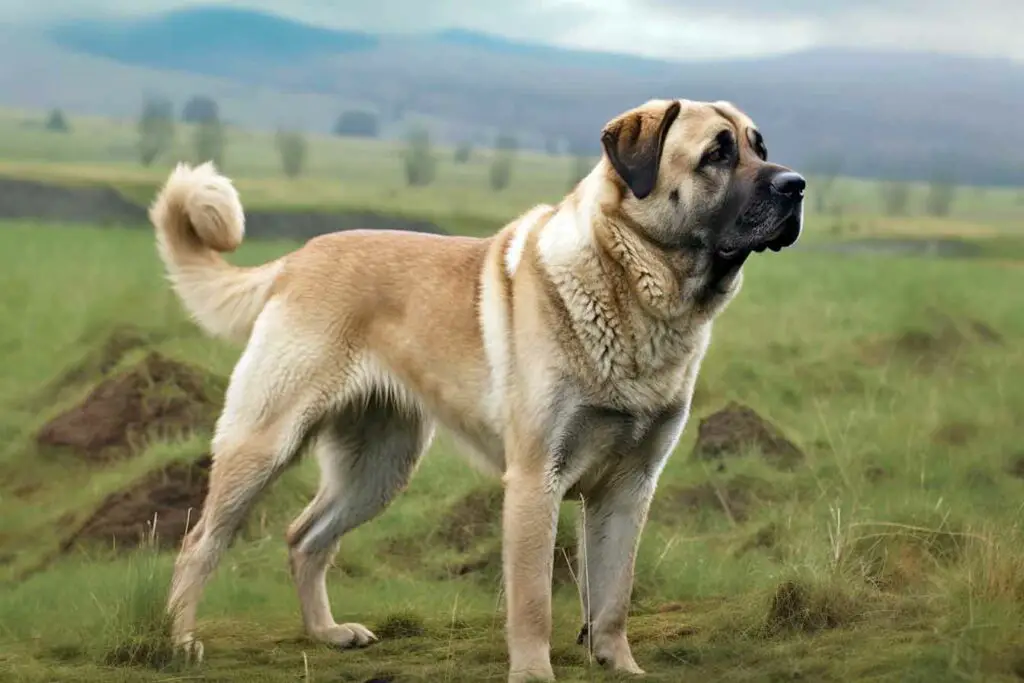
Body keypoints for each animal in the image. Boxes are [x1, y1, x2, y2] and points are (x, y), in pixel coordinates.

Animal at [149, 97, 806, 683]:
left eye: (759, 146)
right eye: (716, 154)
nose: (797, 185)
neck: (633, 287)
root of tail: (297, 259)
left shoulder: (628, 488)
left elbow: (613, 597)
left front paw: (620, 666)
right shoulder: (536, 481)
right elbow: (534, 601)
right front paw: (535, 674)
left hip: (378, 468)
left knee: (305, 539)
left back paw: (327, 634)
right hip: (265, 443)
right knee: (200, 543)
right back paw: (181, 641)